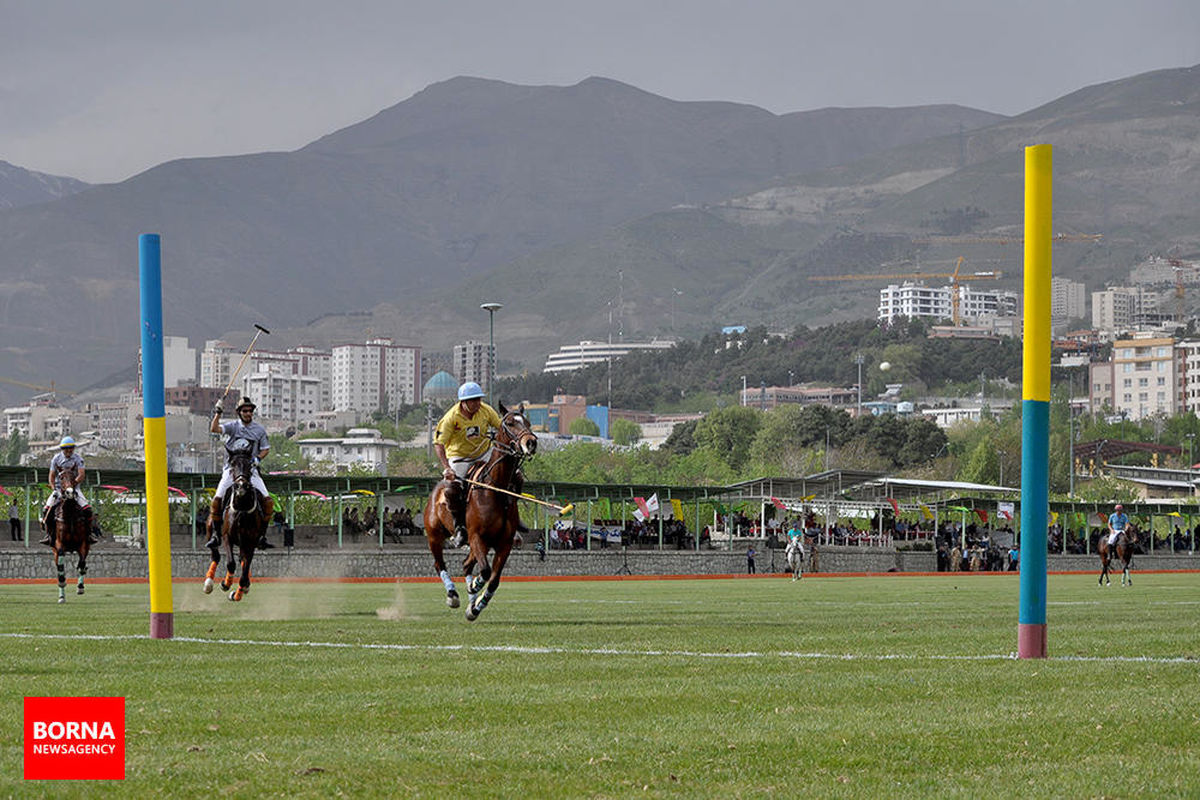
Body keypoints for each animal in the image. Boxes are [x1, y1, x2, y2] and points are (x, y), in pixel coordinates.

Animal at [48, 465, 89, 604]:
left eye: (74, 476)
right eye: (60, 477)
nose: (70, 492)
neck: (70, 513)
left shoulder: (84, 544)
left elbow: (82, 563)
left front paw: (80, 587)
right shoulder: (59, 544)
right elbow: (61, 568)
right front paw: (62, 585)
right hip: (54, 550)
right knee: (59, 567)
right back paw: (62, 596)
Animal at [202, 450, 266, 599]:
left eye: (250, 465)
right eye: (232, 464)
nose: (241, 486)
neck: (242, 508)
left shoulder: (251, 541)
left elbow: (245, 568)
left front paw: (238, 591)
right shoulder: (227, 536)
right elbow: (231, 563)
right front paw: (225, 584)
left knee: (242, 559)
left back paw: (243, 589)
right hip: (210, 528)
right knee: (216, 555)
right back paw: (209, 583)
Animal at [420, 402, 537, 623]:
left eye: (527, 422)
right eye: (510, 423)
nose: (531, 442)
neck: (496, 488)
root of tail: (436, 489)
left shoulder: (504, 543)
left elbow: (494, 580)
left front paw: (476, 605)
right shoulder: (476, 535)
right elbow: (485, 571)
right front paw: (474, 587)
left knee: (466, 565)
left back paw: (471, 601)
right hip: (434, 535)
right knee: (439, 564)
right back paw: (453, 595)